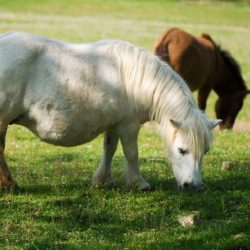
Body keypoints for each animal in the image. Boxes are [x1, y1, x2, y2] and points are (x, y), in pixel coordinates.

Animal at [0, 32, 221, 190]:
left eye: (205, 151)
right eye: (182, 150)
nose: (195, 186)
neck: (134, 81)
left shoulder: (114, 124)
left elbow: (109, 149)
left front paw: (103, 180)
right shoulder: (129, 125)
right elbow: (131, 154)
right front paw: (139, 183)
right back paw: (9, 184)